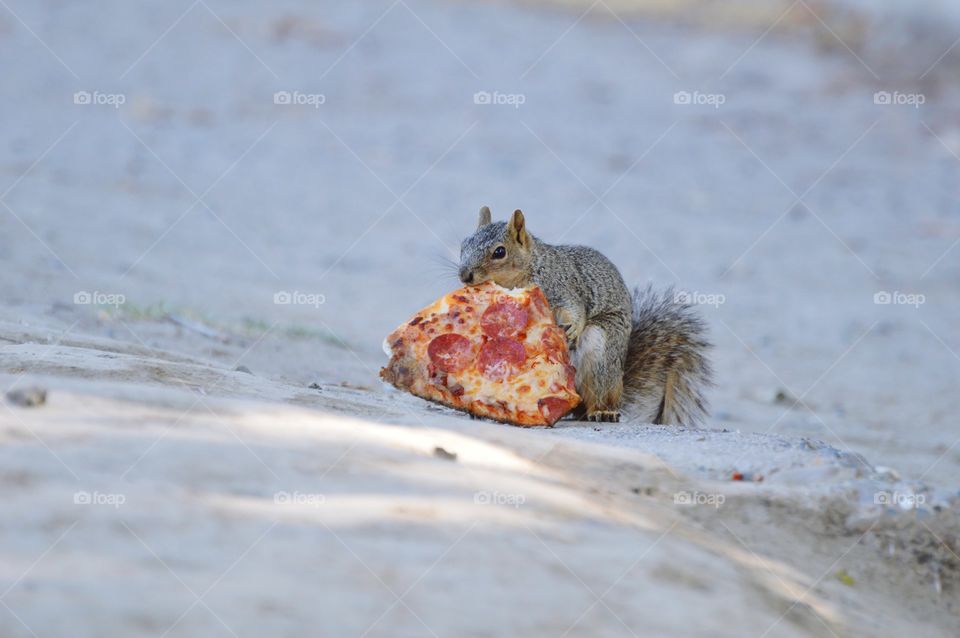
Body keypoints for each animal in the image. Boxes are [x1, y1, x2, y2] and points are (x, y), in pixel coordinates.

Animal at [458, 206, 712, 425]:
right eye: (463, 245)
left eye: (499, 252)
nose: (464, 275)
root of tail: (618, 386)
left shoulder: (561, 287)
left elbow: (574, 309)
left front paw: (572, 327)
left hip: (601, 350)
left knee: (597, 395)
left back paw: (601, 411)